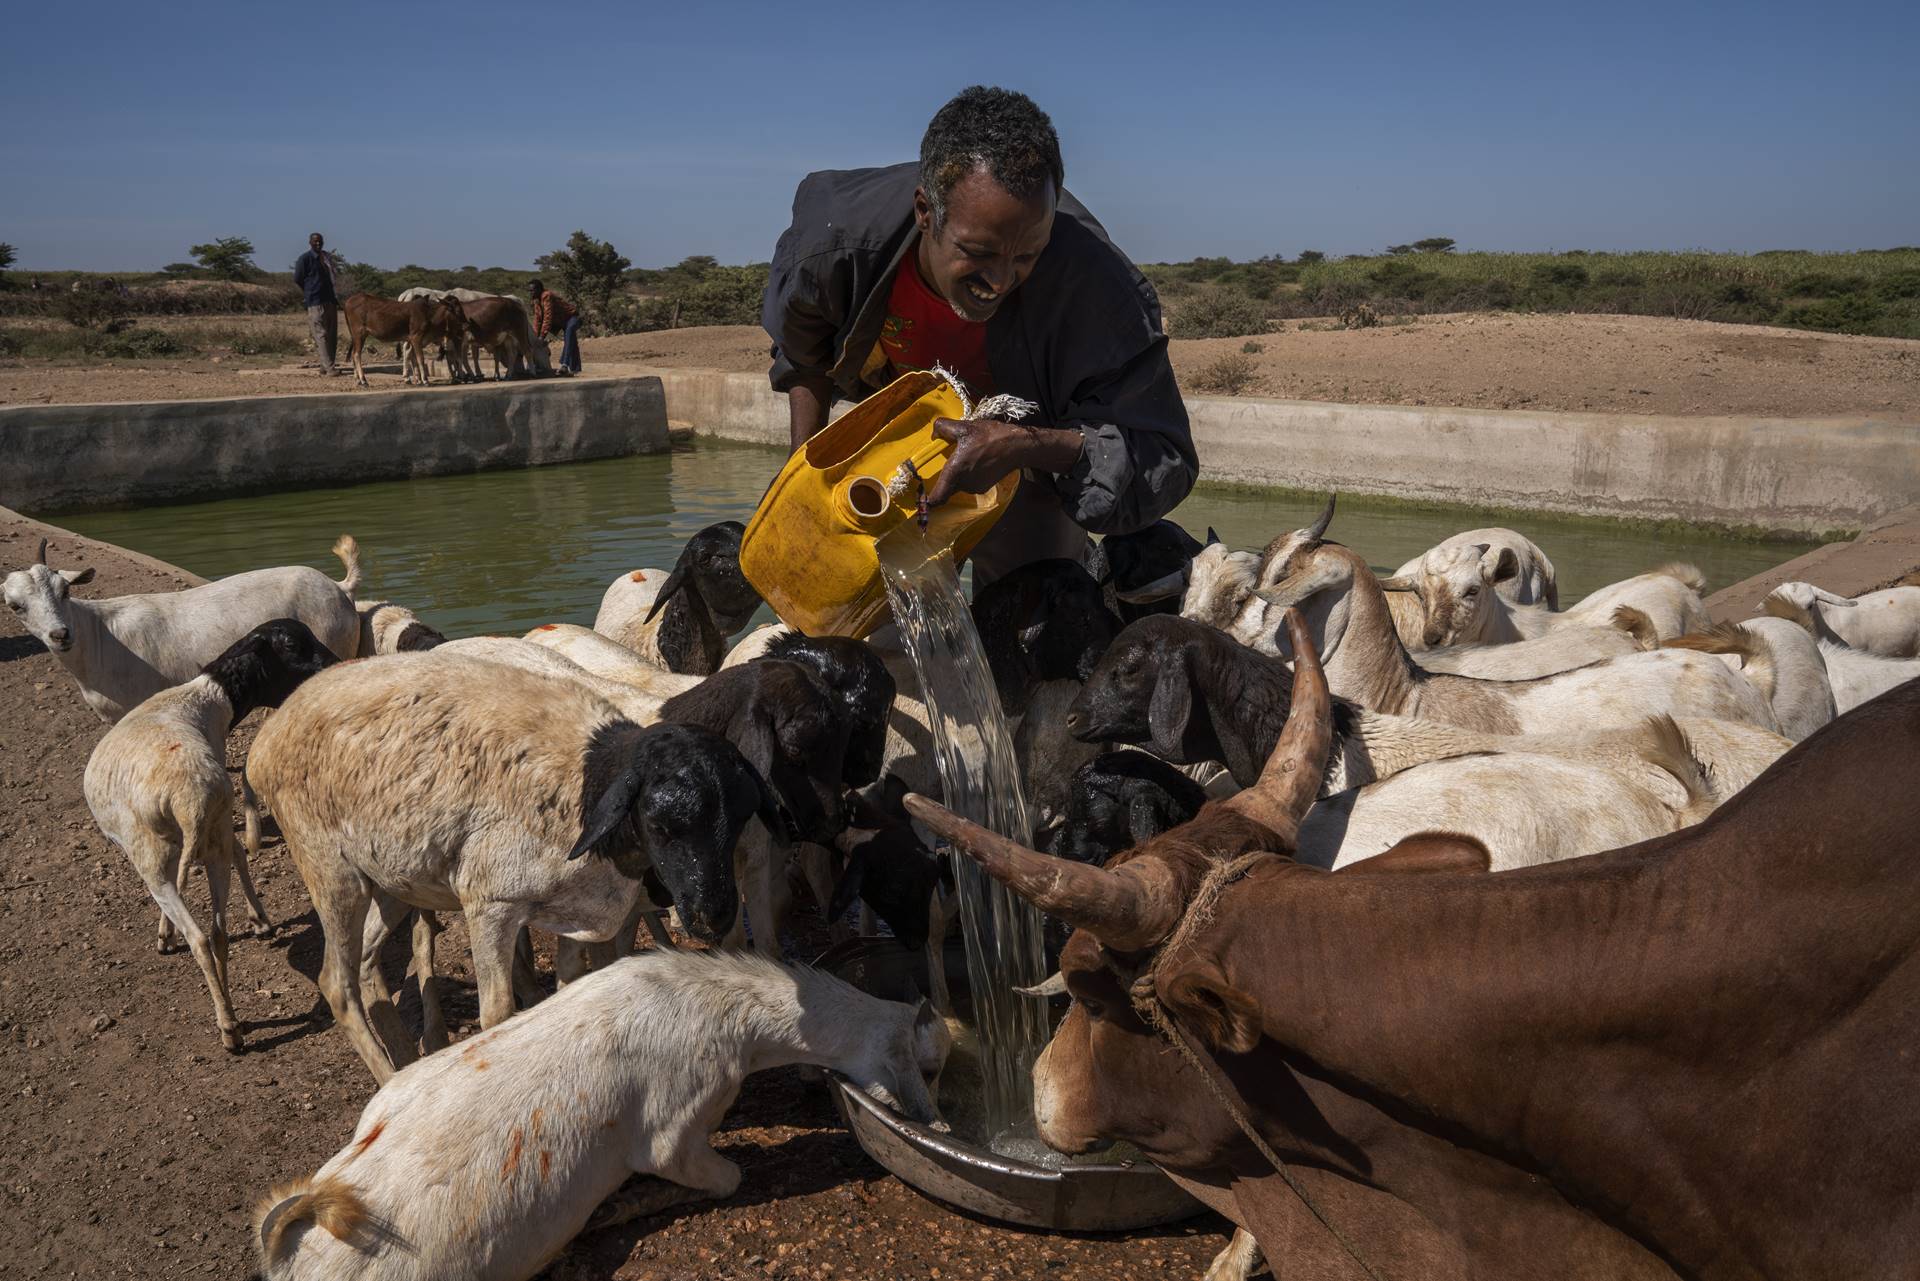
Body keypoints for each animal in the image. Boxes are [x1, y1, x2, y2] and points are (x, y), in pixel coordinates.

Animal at [341, 293, 472, 387]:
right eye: (458, 311)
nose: (466, 325)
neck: (429, 314)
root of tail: (348, 301)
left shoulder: (413, 340)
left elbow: (413, 359)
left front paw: (418, 381)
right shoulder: (416, 337)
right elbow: (420, 359)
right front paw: (425, 381)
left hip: (356, 336)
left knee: (354, 354)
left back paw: (358, 380)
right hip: (360, 334)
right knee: (356, 354)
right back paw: (364, 381)